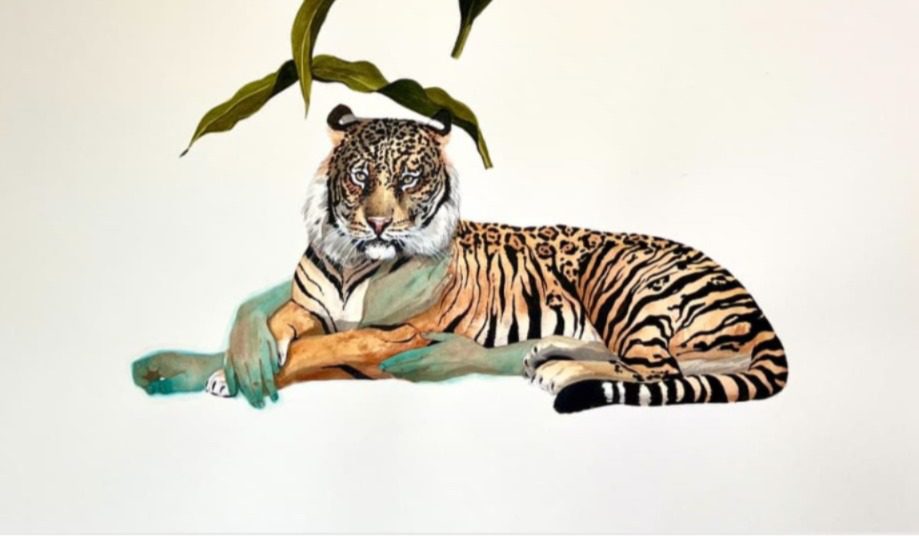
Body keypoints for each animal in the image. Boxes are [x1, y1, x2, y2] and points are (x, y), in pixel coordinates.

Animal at [185, 104, 787, 413]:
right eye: (359, 175)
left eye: (409, 178)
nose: (378, 223)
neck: (355, 263)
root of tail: (746, 295)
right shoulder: (310, 305)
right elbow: (286, 322)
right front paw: (236, 365)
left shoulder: (393, 339)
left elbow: (327, 348)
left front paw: (242, 373)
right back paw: (546, 353)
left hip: (624, 282)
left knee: (664, 367)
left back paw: (559, 370)